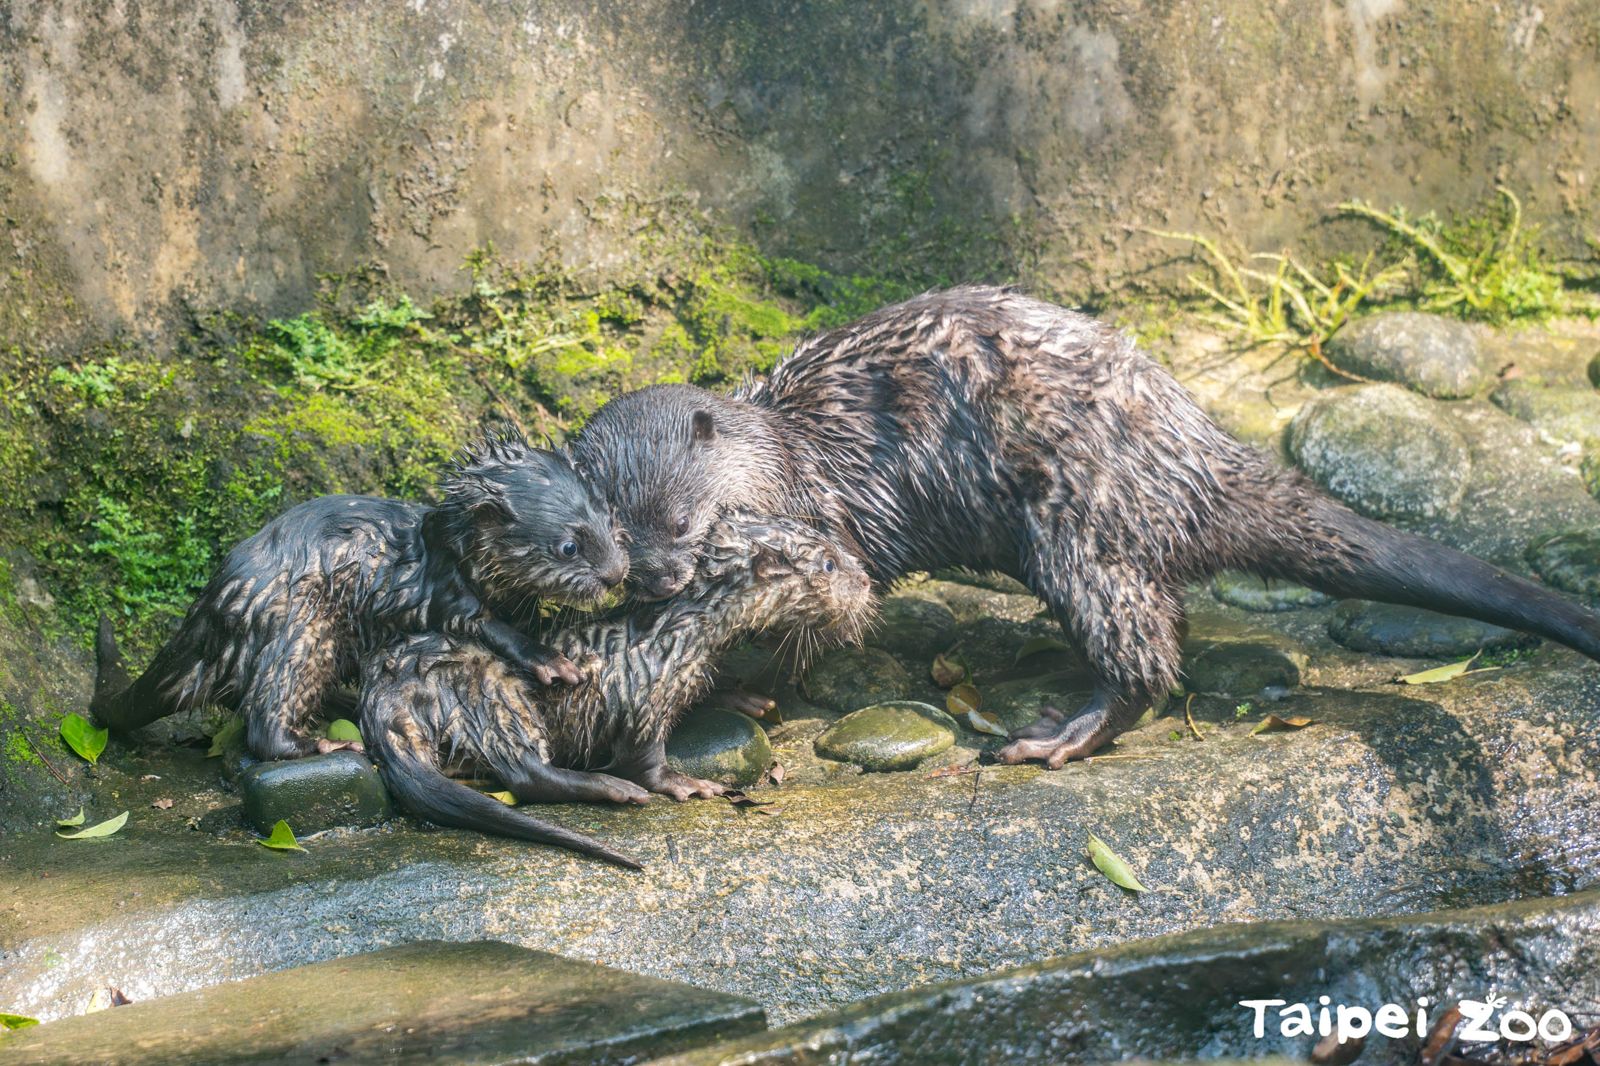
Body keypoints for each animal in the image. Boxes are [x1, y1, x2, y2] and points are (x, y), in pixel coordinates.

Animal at [86, 428, 624, 758]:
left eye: (612, 520)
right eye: (569, 546)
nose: (616, 574)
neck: (453, 553)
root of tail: (214, 606)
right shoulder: (443, 590)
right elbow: (484, 626)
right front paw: (552, 661)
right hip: (297, 631)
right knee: (263, 723)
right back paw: (328, 743)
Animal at [363, 512, 876, 857]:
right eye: (830, 565)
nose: (866, 580)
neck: (684, 630)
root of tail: (384, 694)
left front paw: (748, 698)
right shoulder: (645, 685)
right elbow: (643, 754)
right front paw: (684, 784)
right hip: (491, 691)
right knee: (524, 773)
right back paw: (612, 788)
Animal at [576, 281, 1600, 765]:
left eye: (682, 519)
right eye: (609, 536)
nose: (656, 579)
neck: (790, 454)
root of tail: (1192, 456)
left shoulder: (828, 535)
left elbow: (828, 623)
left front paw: (742, 689)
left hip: (1081, 531)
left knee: (1145, 656)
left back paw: (1056, 734)